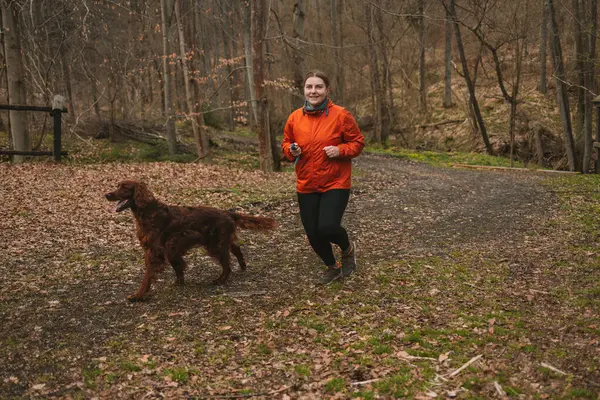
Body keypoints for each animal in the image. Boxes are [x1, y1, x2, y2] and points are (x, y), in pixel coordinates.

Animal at [106, 180, 276, 300]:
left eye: (124, 187)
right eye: (117, 185)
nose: (107, 194)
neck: (148, 211)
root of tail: (227, 212)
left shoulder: (155, 250)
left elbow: (148, 275)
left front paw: (138, 295)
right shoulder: (170, 247)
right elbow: (177, 265)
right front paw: (179, 282)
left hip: (215, 244)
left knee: (227, 265)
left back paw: (220, 280)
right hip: (218, 240)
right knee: (235, 248)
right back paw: (242, 266)